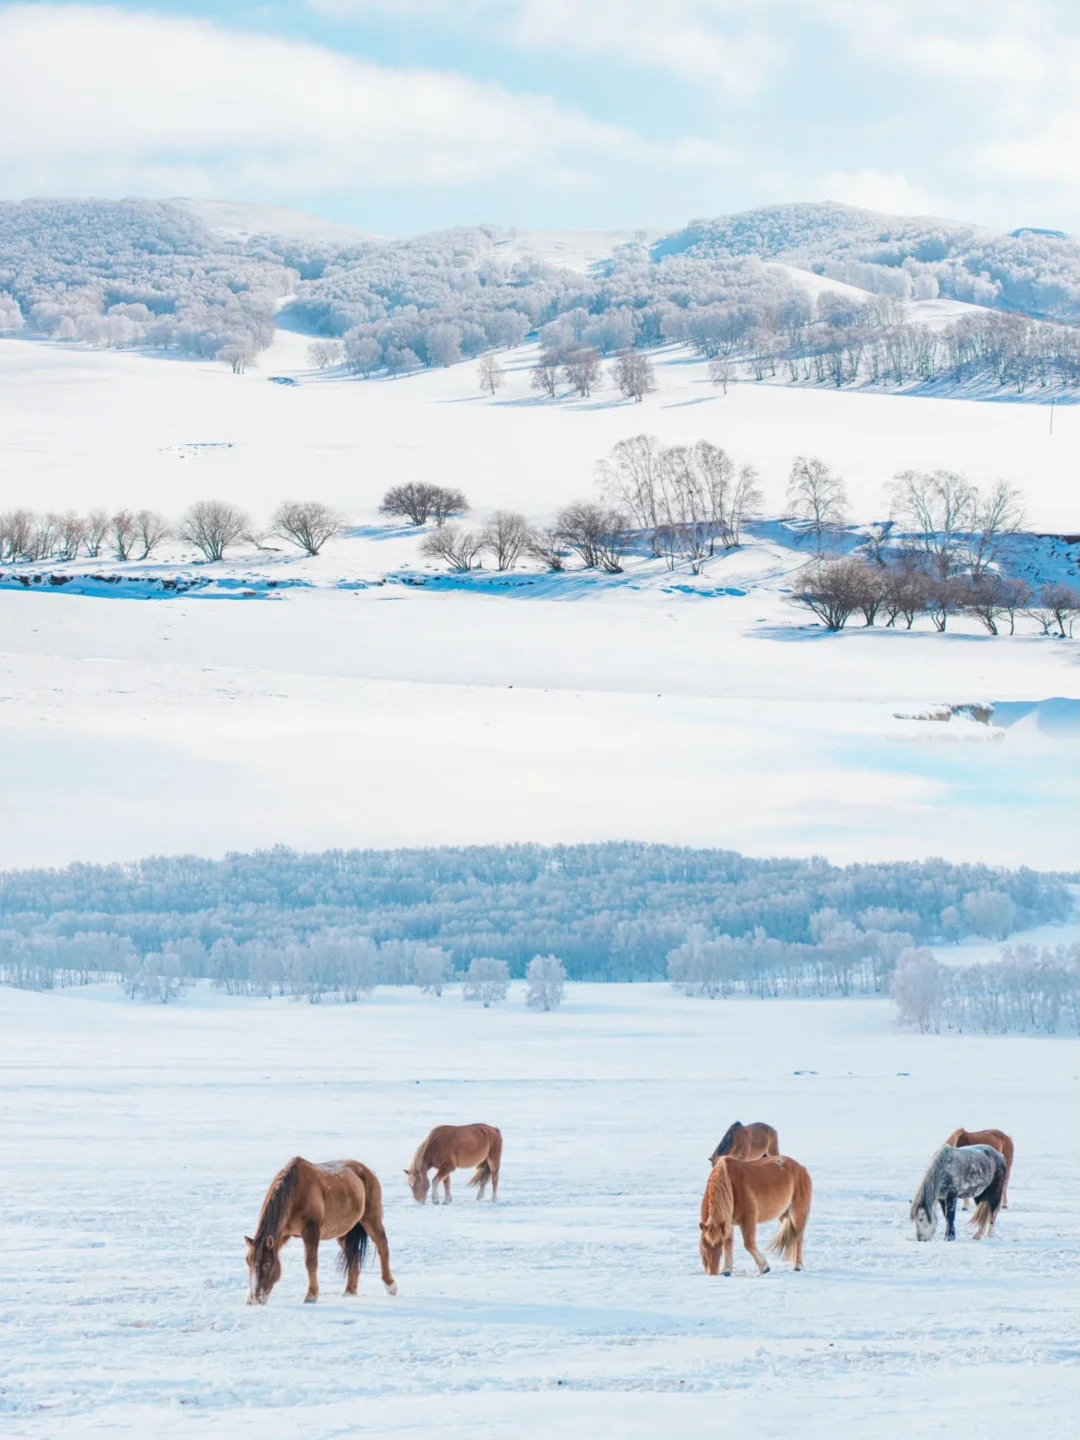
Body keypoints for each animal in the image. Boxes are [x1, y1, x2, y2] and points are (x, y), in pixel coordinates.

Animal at [244, 1157, 397, 1307]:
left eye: (266, 1264)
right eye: (248, 1262)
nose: (256, 1299)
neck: (295, 1192)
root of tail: (367, 1171)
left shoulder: (311, 1230)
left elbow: (311, 1262)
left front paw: (311, 1295)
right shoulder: (283, 1235)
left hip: (371, 1219)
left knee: (382, 1246)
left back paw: (390, 1286)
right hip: (343, 1232)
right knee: (354, 1256)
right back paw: (350, 1290)